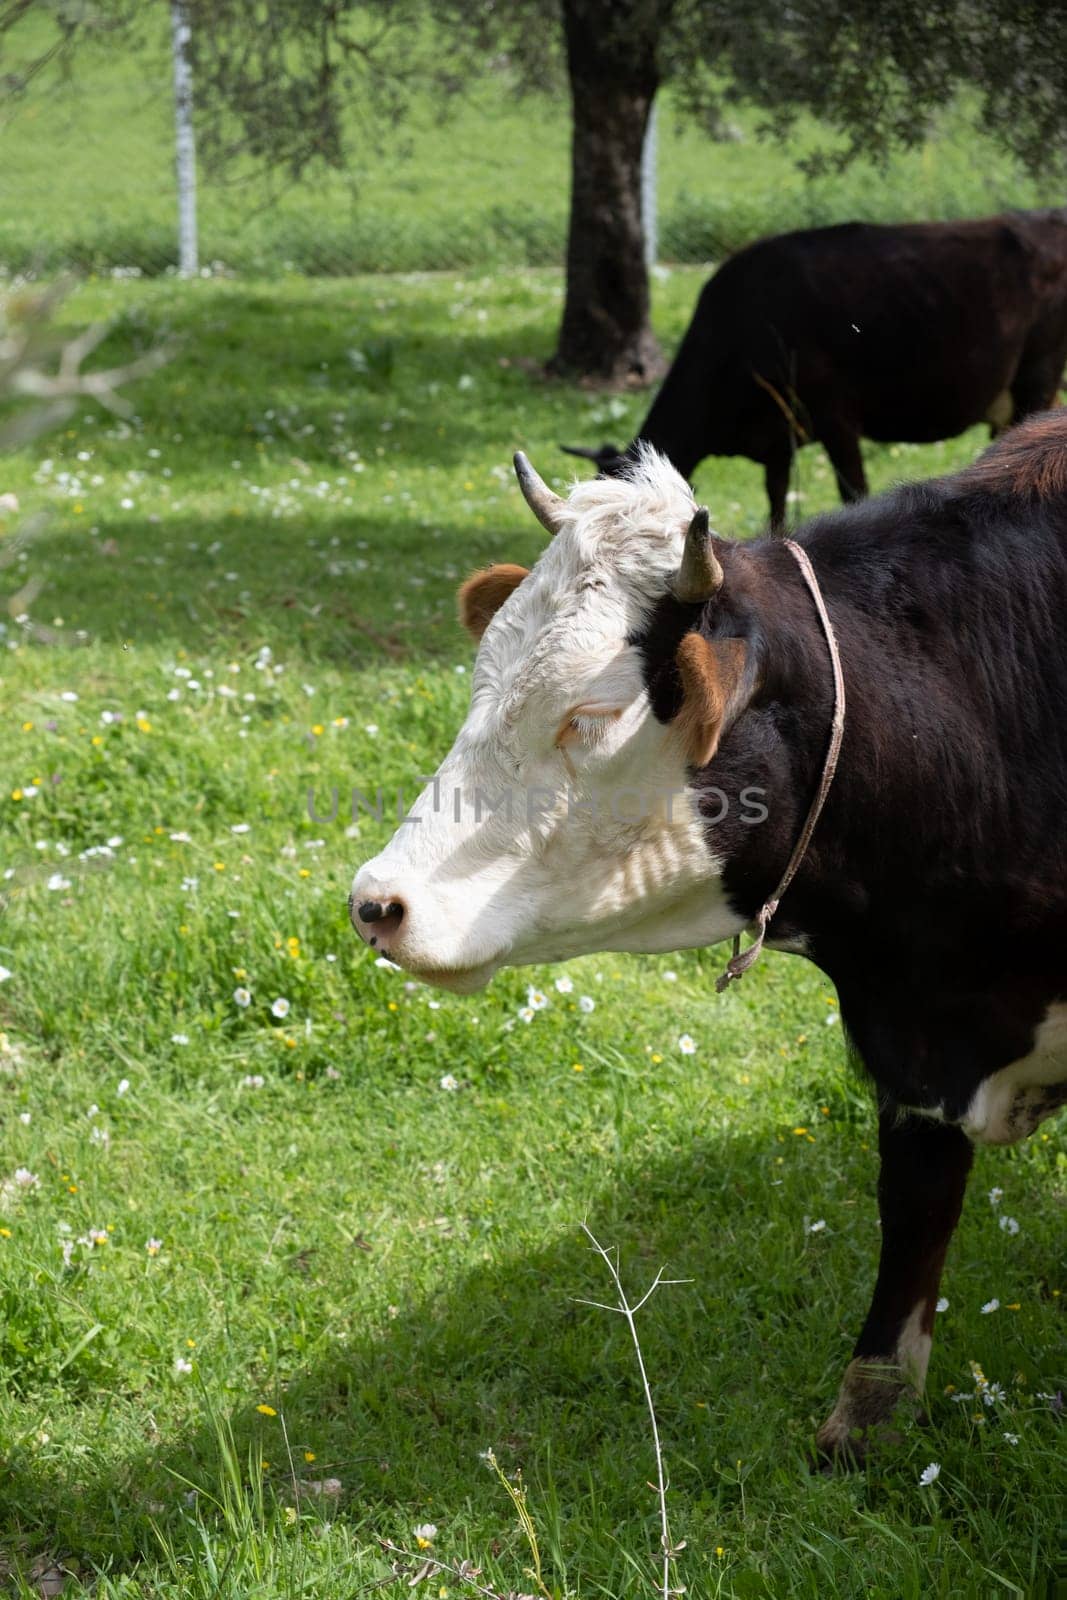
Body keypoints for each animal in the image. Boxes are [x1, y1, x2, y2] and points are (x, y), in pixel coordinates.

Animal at [350, 419, 1067, 1465]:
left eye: (591, 714)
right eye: (482, 679)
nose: (377, 903)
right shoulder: (906, 1052)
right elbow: (914, 1214)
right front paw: (863, 1424)